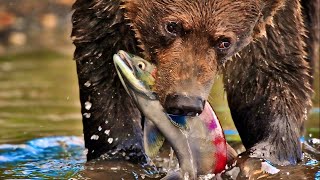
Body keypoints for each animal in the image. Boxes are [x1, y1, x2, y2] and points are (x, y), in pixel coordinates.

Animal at [72, 0, 318, 166]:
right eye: (172, 26)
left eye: (224, 41)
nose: (185, 102)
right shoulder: (109, 13)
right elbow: (101, 56)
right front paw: (120, 154)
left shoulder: (272, 19)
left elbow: (270, 72)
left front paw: (261, 157)